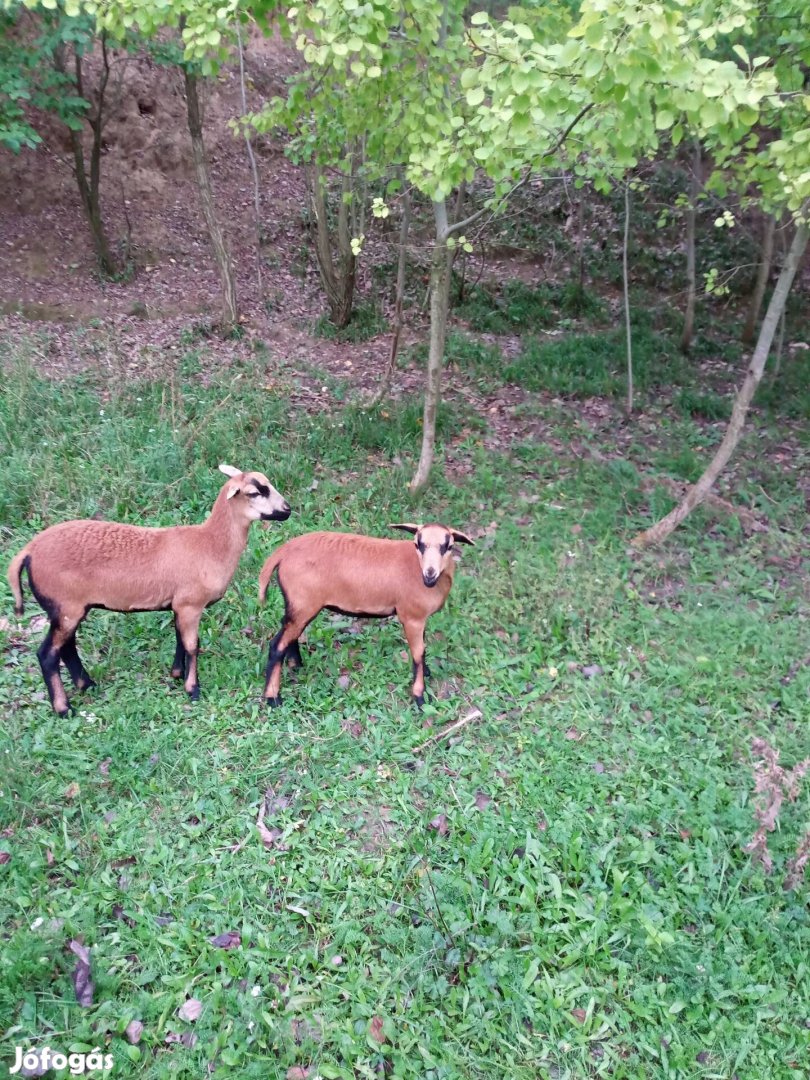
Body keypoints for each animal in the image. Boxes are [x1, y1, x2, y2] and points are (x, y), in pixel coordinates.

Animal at [258, 522, 475, 708]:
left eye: (448, 546)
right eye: (418, 544)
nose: (429, 574)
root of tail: (282, 552)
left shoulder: (420, 618)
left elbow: (422, 648)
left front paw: (427, 672)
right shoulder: (412, 617)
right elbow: (418, 652)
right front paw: (420, 697)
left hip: (298, 605)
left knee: (287, 630)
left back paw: (296, 664)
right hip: (304, 603)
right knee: (276, 645)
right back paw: (273, 698)